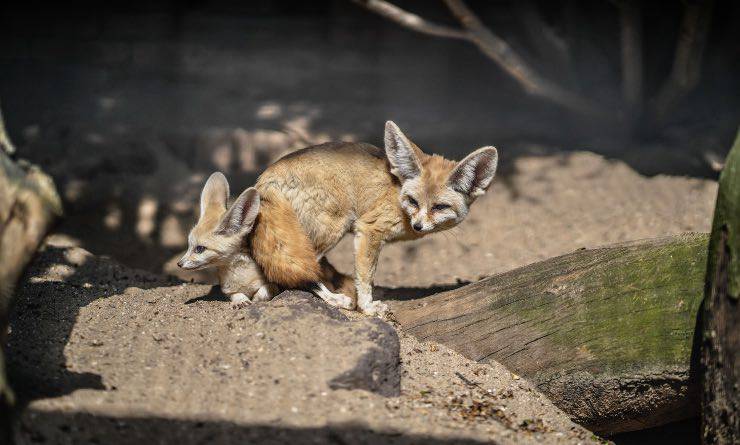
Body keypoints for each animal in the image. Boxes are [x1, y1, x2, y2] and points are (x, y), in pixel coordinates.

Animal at [251, 120, 500, 316]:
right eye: (413, 201)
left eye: (439, 207)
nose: (418, 226)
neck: (397, 195)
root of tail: (266, 176)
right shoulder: (368, 230)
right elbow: (365, 277)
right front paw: (367, 307)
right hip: (332, 228)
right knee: (298, 269)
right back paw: (330, 297)